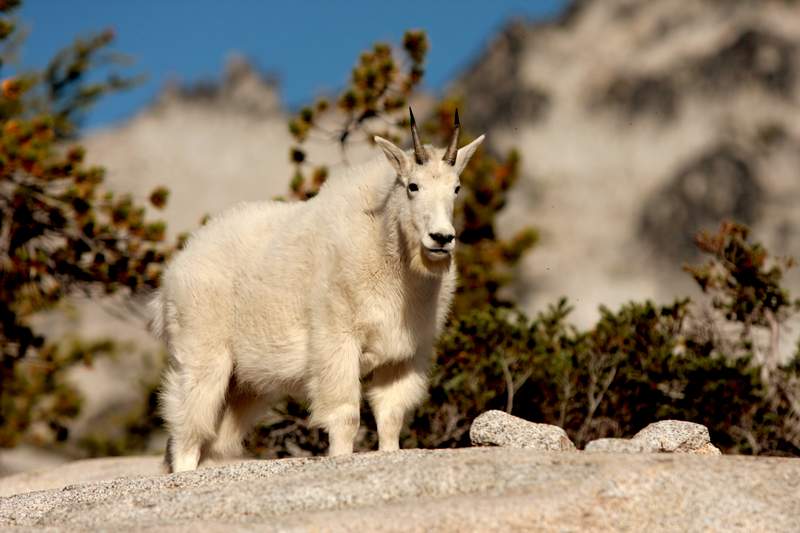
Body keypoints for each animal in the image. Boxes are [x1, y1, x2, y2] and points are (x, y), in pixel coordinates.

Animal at [152, 108, 484, 470]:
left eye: (456, 188)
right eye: (413, 186)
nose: (441, 238)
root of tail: (173, 274)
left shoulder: (404, 355)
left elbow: (391, 416)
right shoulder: (336, 340)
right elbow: (345, 416)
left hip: (246, 384)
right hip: (202, 352)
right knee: (187, 425)